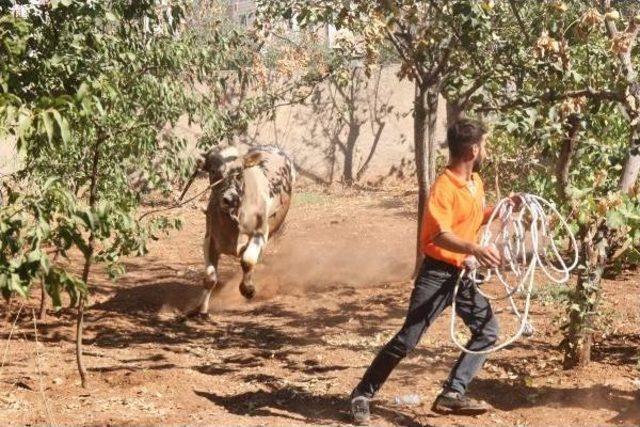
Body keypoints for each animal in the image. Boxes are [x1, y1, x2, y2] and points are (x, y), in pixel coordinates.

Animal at [186, 147, 294, 318]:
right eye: (213, 170)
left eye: (239, 171)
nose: (230, 199)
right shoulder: (210, 239)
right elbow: (210, 278)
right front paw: (201, 309)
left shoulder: (260, 233)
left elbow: (247, 260)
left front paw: (248, 289)